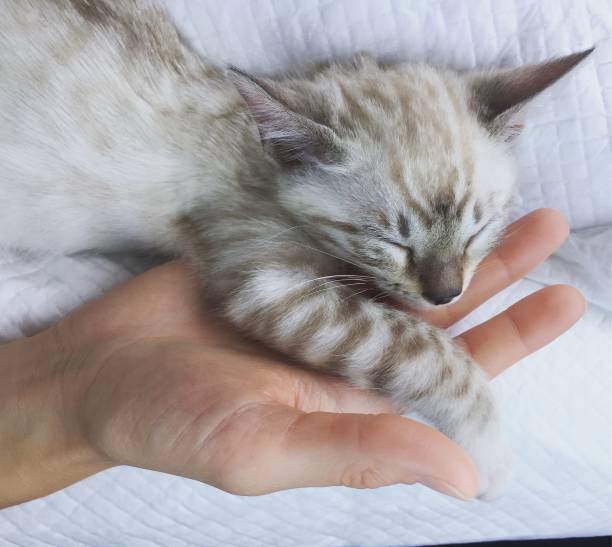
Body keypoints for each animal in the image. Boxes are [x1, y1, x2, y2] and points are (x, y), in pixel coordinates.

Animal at [0, 0, 592, 498]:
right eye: (391, 240)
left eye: (477, 230)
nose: (446, 294)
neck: (252, 150)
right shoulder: (266, 279)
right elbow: (432, 353)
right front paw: (490, 458)